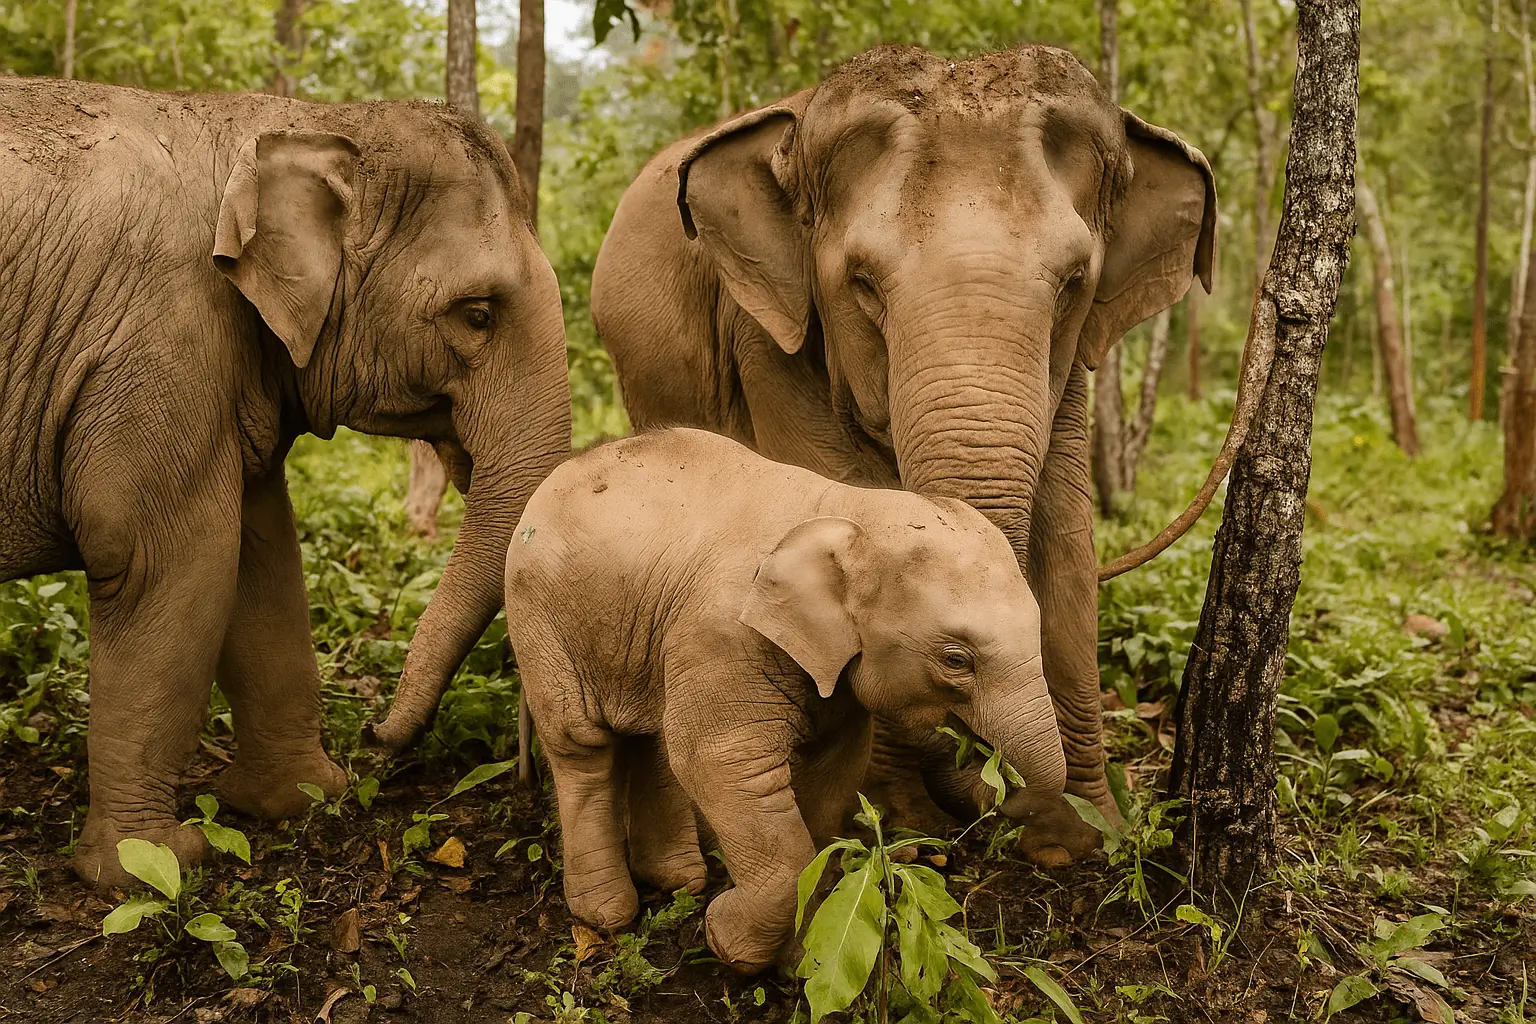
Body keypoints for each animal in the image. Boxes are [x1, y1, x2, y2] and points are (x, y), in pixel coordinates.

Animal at [0, 78, 571, 886]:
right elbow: (166, 560)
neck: (295, 122)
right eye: (478, 314)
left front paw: (303, 798)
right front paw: (152, 868)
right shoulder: (163, 340)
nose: (377, 733)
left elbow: (262, 555)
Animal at [499, 427, 1066, 972]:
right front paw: (728, 946)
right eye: (956, 660)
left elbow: (834, 770)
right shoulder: (725, 637)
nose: (988, 769)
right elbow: (719, 762)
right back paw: (607, 916)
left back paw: (679, 882)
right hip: (540, 620)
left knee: (651, 736)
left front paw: (797, 962)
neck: (848, 508)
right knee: (582, 746)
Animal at [587, 44, 1224, 864]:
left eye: (1075, 282)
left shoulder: (1075, 369)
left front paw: (1081, 838)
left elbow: (1066, 538)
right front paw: (905, 834)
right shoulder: (769, 336)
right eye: (861, 284)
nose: (985, 785)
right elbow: (839, 494)